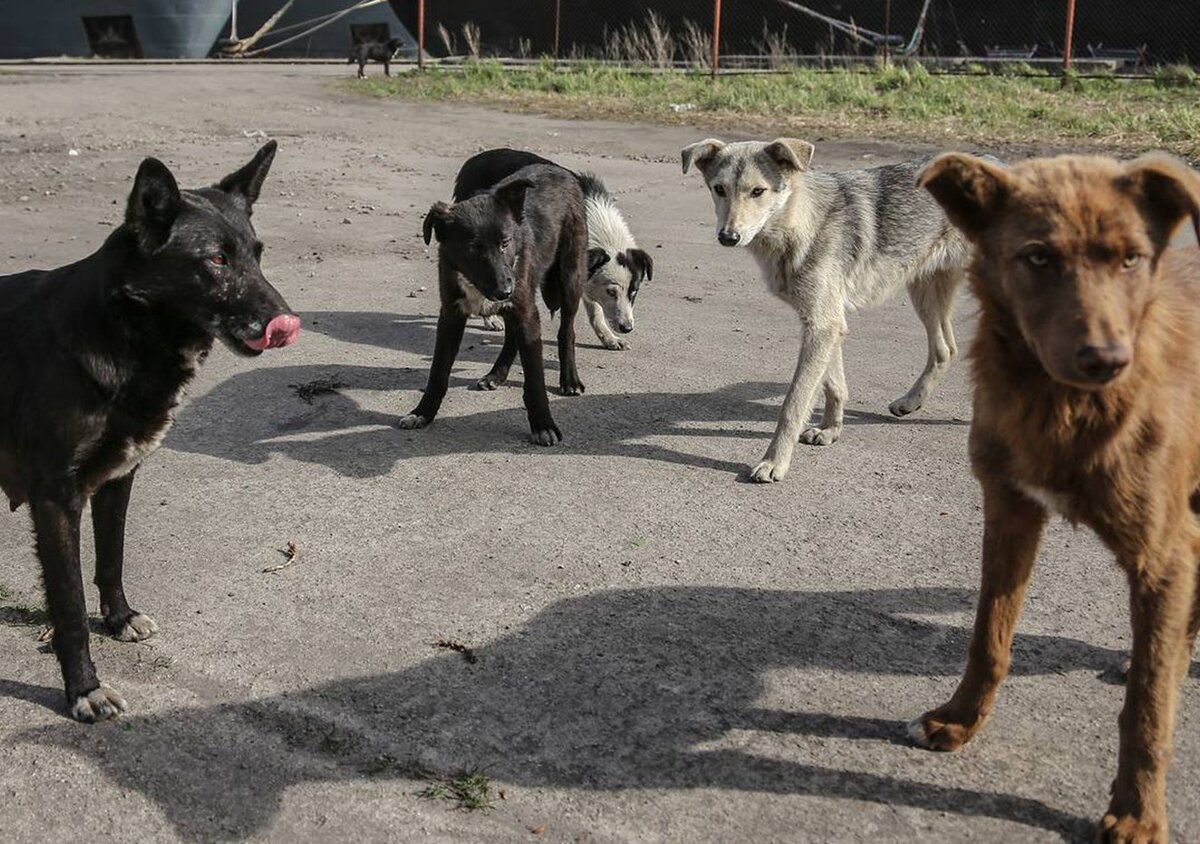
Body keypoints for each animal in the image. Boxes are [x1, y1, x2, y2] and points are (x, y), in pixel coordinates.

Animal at [0, 141, 300, 725]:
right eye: (216, 260)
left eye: (257, 253)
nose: (287, 322)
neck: (119, 331)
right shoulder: (56, 500)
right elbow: (69, 605)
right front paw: (84, 689)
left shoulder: (118, 479)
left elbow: (111, 559)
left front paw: (118, 619)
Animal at [453, 148, 652, 350]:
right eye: (611, 292)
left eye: (634, 291)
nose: (627, 328)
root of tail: (472, 161)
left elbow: (595, 311)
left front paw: (609, 338)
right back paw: (490, 319)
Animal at [686, 138, 974, 482]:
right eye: (719, 189)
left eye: (758, 191)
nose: (728, 237)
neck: (801, 225)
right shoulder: (827, 324)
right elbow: (834, 387)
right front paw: (830, 431)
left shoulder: (823, 327)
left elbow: (793, 404)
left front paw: (774, 461)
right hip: (924, 294)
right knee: (946, 350)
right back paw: (909, 402)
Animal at [907, 153, 1200, 844]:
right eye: (1037, 257)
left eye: (1131, 259)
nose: (1107, 360)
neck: (1062, 405)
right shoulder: (1010, 512)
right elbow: (988, 638)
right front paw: (961, 719)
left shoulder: (1163, 553)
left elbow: (1147, 710)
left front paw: (1138, 813)